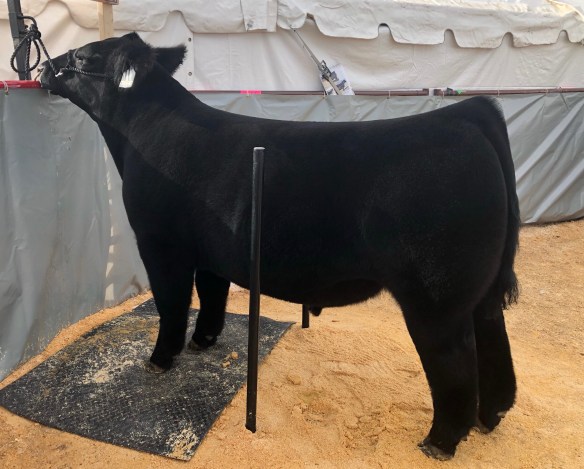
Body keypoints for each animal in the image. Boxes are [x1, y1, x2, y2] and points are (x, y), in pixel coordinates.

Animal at [39, 32, 520, 460]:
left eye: (83, 56)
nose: (44, 66)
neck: (144, 133)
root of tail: (463, 115)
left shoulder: (160, 243)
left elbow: (172, 304)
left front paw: (160, 359)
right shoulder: (211, 252)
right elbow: (211, 296)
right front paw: (203, 341)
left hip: (436, 298)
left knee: (456, 362)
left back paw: (440, 441)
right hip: (478, 292)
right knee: (493, 340)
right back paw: (491, 417)